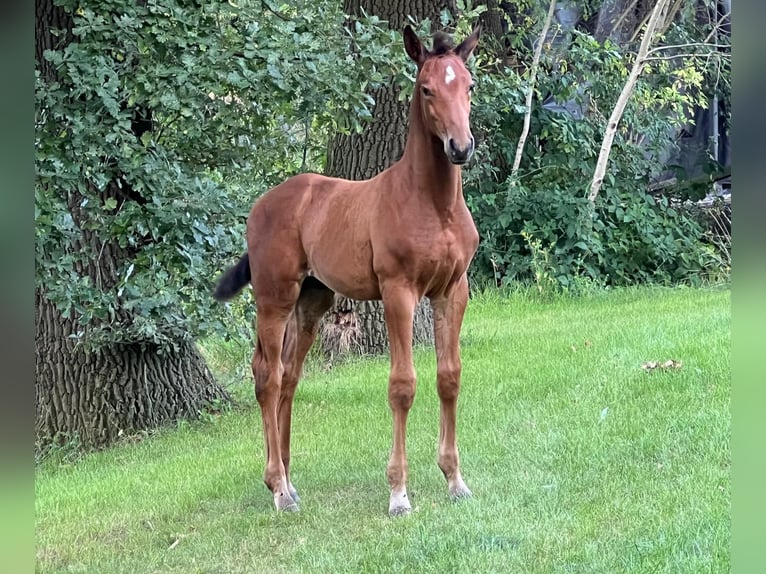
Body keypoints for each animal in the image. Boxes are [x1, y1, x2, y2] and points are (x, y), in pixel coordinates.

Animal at [214, 24, 480, 516]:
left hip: (312, 301)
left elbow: (449, 377)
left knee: (289, 377)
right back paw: (278, 488)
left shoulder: (453, 290)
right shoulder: (398, 292)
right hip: (274, 297)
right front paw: (398, 494)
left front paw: (455, 480)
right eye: (426, 88)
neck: (434, 205)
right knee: (267, 376)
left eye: (469, 86)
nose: (460, 147)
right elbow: (402, 385)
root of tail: (262, 204)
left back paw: (289, 478)